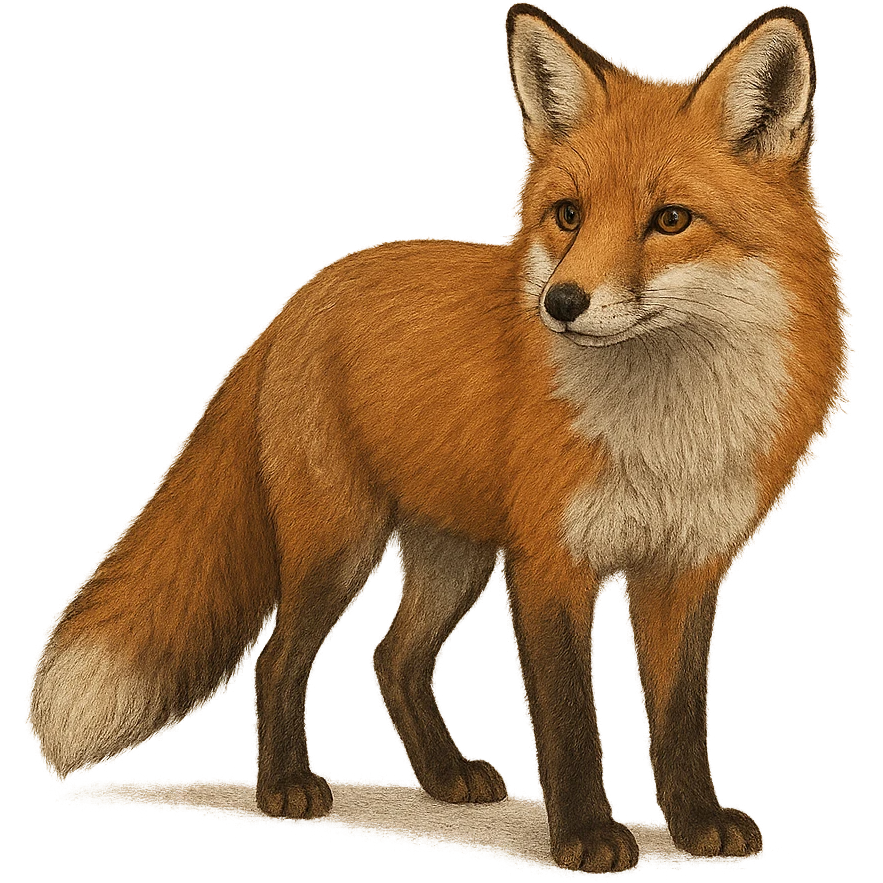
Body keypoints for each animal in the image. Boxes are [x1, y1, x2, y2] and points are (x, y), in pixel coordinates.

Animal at [28, 3, 850, 874]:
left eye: (669, 221)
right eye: (568, 215)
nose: (560, 303)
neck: (664, 428)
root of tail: (300, 299)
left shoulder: (685, 566)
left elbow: (680, 716)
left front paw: (695, 824)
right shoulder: (548, 562)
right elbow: (568, 719)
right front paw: (586, 837)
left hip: (452, 554)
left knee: (391, 657)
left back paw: (443, 774)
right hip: (341, 543)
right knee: (279, 656)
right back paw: (286, 787)